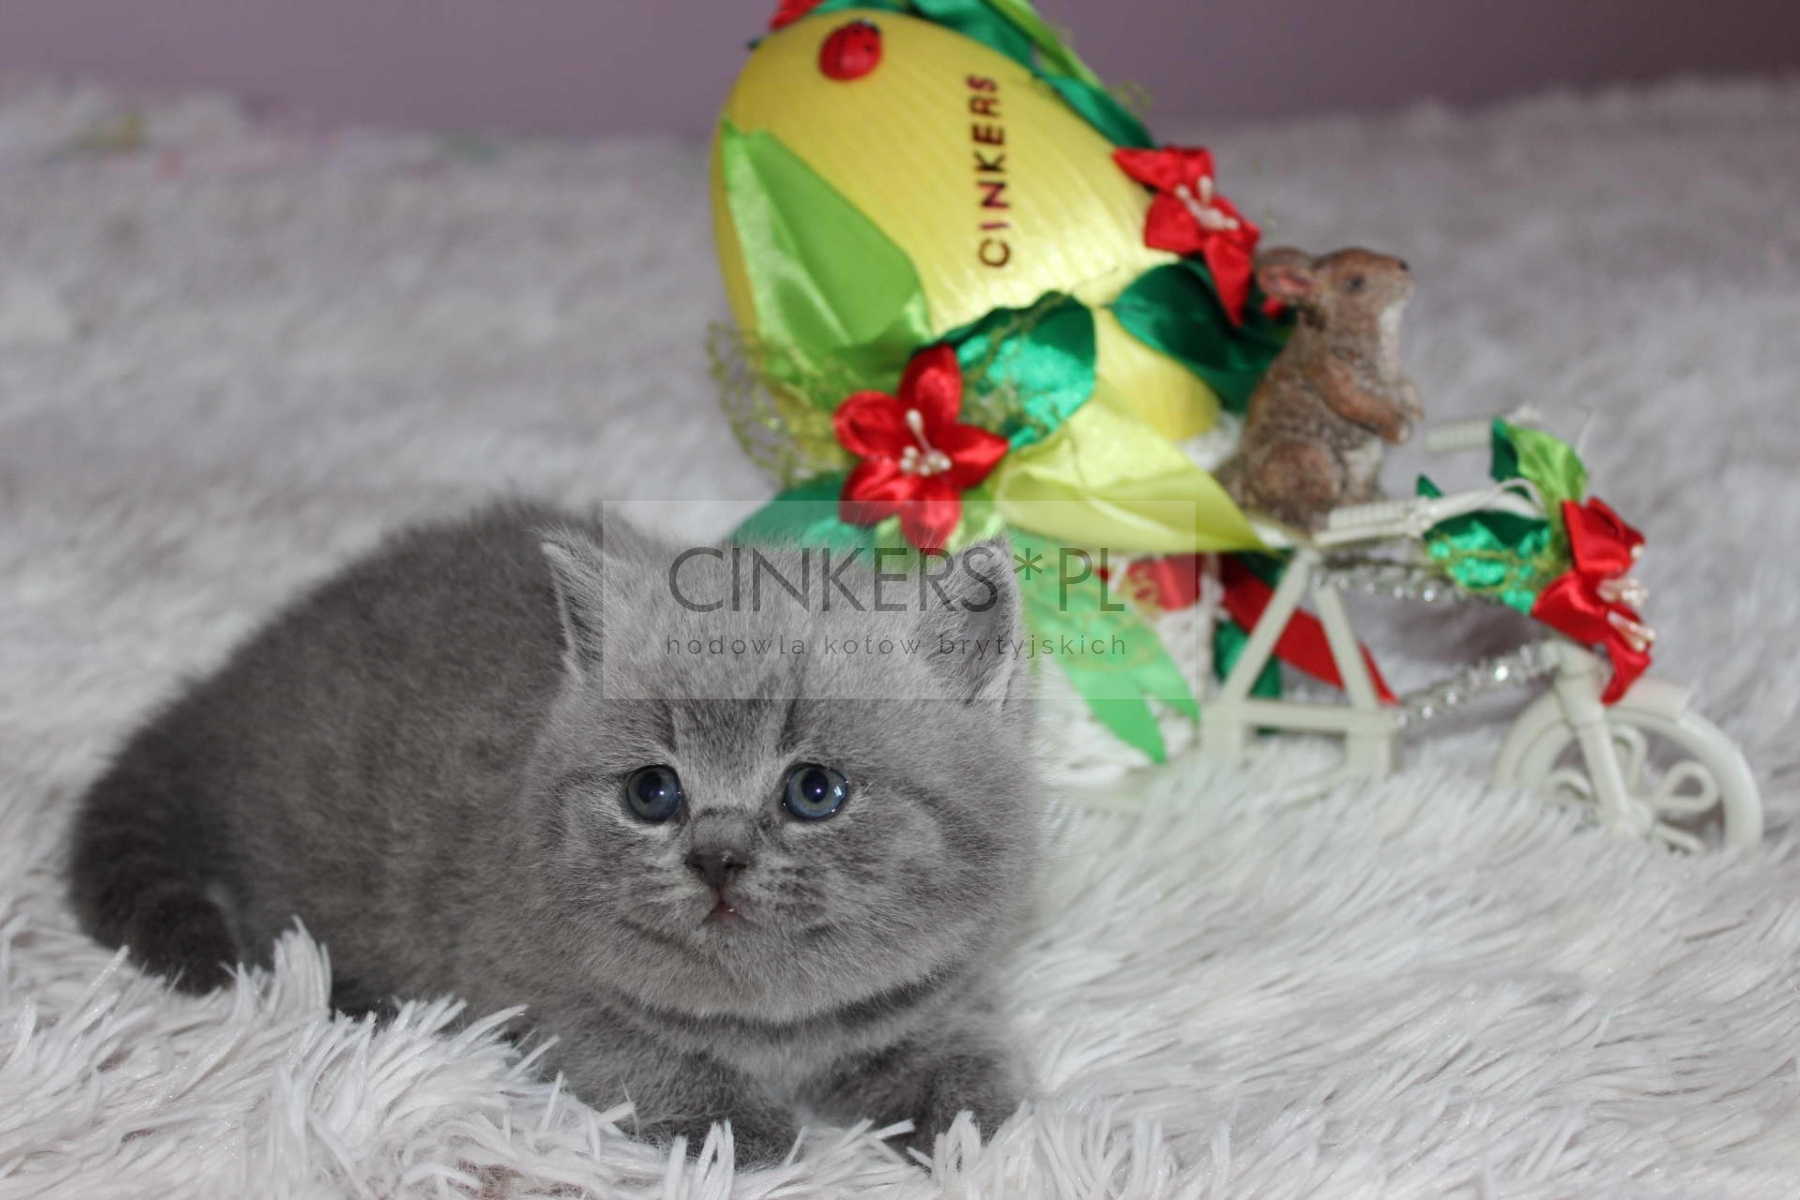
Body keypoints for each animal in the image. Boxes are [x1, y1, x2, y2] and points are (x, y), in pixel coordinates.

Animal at [67, 502, 1041, 1164]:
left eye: (814, 790)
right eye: (653, 792)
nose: (717, 856)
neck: (779, 1030)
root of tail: (230, 687)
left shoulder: (930, 986)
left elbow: (962, 1067)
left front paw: (971, 1114)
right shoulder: (529, 980)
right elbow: (633, 1052)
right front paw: (736, 1129)